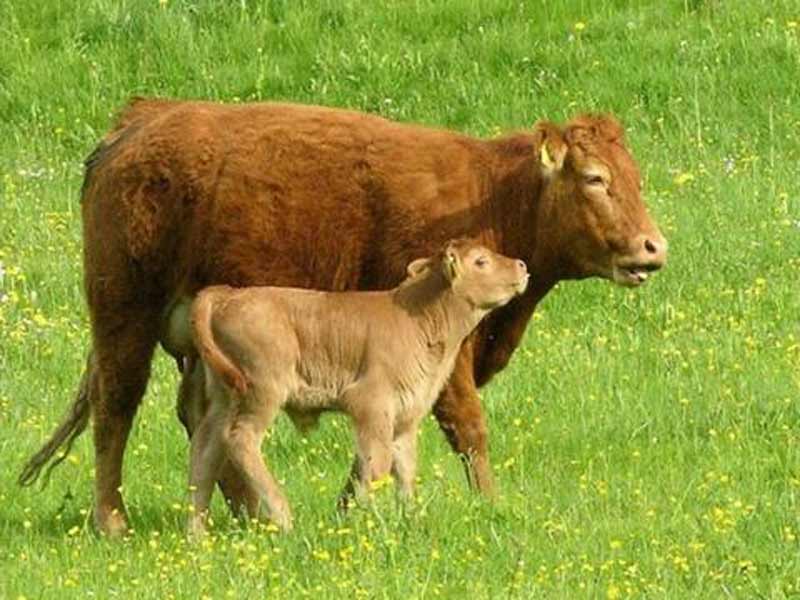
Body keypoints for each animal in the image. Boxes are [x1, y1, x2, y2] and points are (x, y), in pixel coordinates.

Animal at [180, 238, 528, 536]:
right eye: (480, 261)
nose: (521, 265)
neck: (419, 318)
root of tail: (228, 295)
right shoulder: (371, 405)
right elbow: (375, 466)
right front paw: (369, 520)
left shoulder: (404, 417)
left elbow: (404, 468)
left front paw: (410, 520)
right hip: (261, 391)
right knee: (240, 439)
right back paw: (282, 516)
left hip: (225, 397)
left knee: (206, 447)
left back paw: (195, 533)